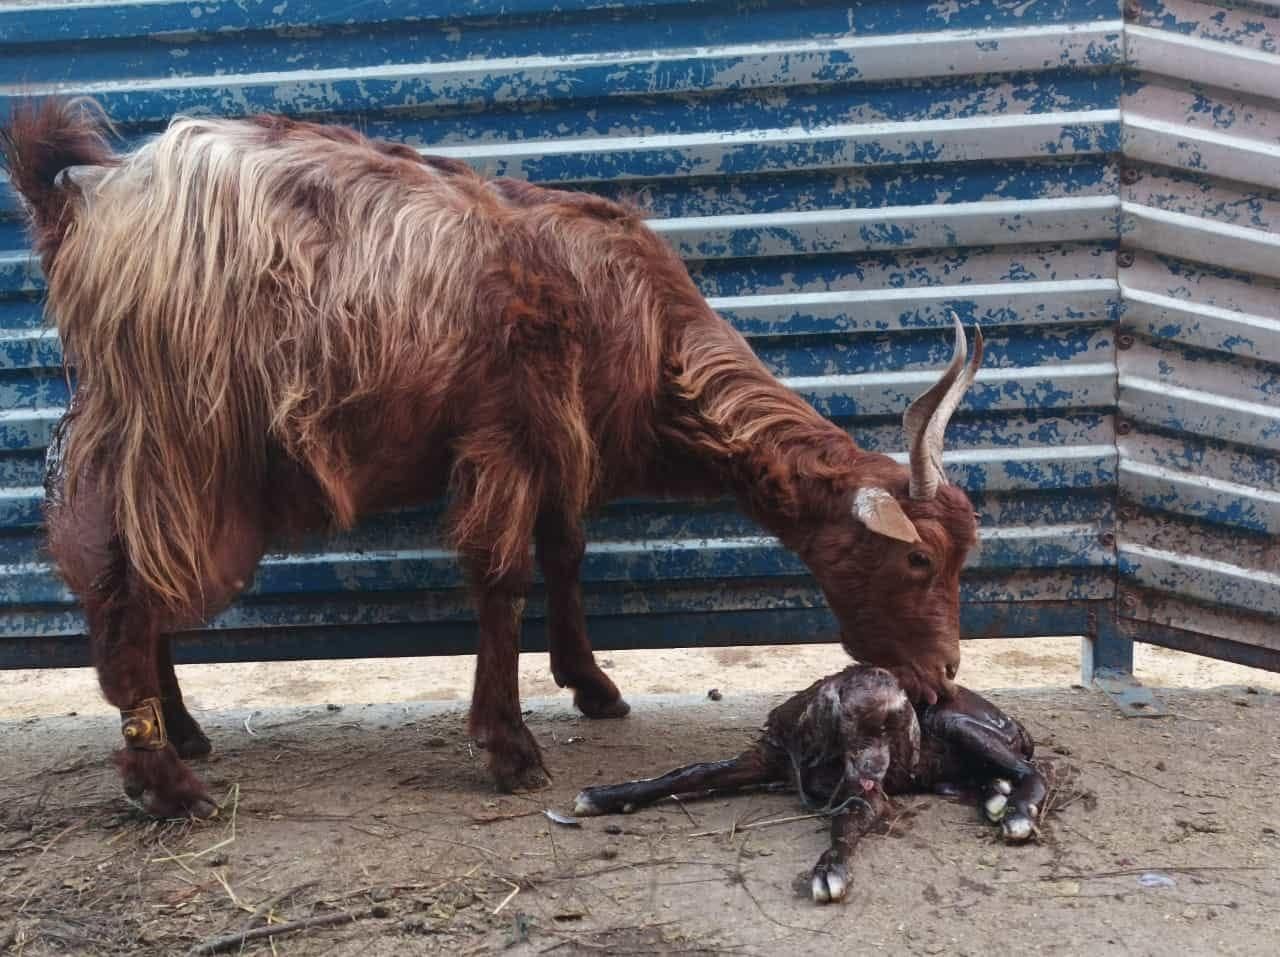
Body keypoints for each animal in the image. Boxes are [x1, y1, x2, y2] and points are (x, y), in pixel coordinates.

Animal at [3, 99, 983, 818]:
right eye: (918, 560)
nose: (940, 676)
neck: (641, 322)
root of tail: (84, 198)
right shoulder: (506, 429)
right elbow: (503, 578)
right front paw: (510, 747)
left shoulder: (557, 442)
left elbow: (566, 553)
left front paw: (593, 685)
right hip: (181, 434)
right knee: (124, 587)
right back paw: (168, 783)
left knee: (126, 575)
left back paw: (184, 730)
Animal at [574, 665, 1047, 903]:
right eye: (862, 723)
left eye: (896, 726)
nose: (876, 771)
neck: (823, 751)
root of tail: (1015, 722)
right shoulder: (765, 759)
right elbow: (690, 773)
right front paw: (606, 796)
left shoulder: (865, 799)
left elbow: (845, 823)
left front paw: (829, 869)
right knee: (990, 778)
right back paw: (996, 797)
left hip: (954, 722)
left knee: (1036, 772)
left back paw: (1018, 812)